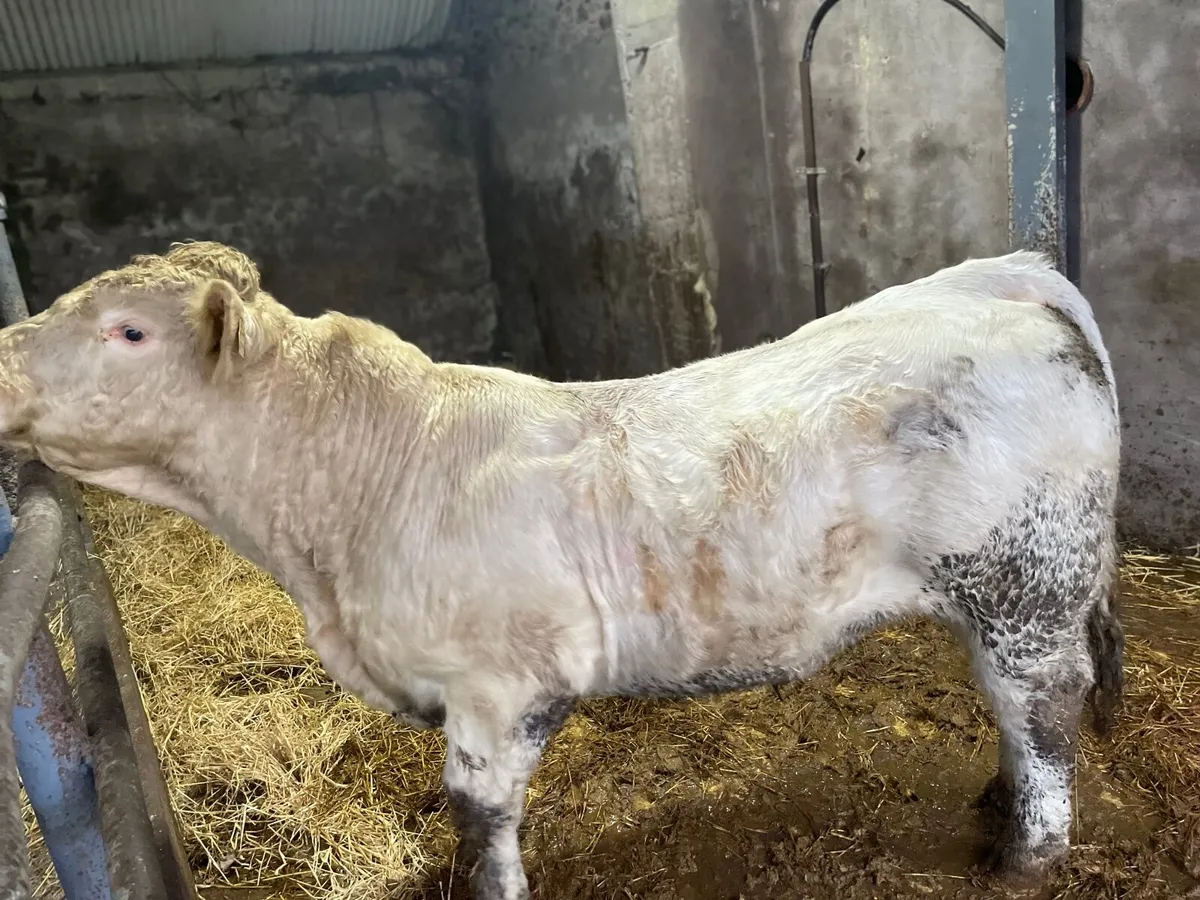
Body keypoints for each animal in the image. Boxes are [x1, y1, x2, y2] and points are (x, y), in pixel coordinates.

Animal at [0, 242, 1123, 899]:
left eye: (128, 331)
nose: (2, 357)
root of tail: (1000, 274)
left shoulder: (501, 688)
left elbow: (479, 818)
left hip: (1023, 585)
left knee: (1044, 710)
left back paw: (1025, 857)